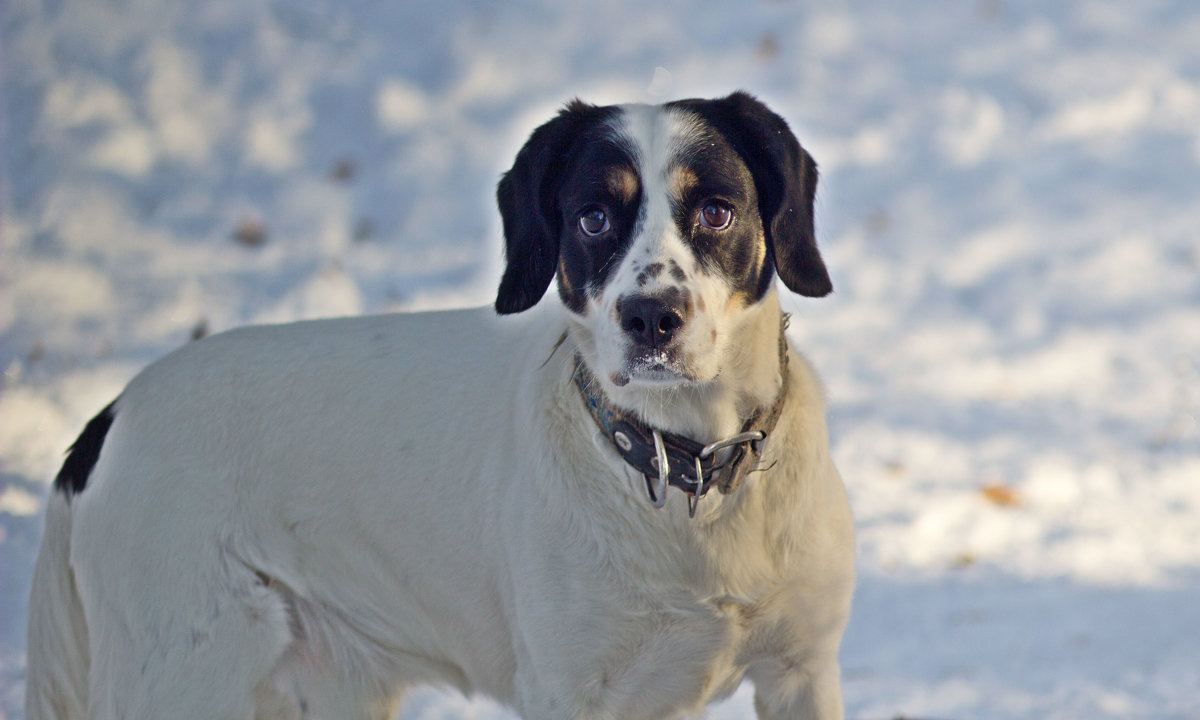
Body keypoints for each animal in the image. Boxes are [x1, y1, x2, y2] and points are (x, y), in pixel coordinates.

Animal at [25, 91, 854, 720]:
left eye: (715, 211)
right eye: (593, 217)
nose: (650, 317)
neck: (691, 476)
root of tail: (104, 423)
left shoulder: (800, 671)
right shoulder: (571, 692)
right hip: (188, 670)